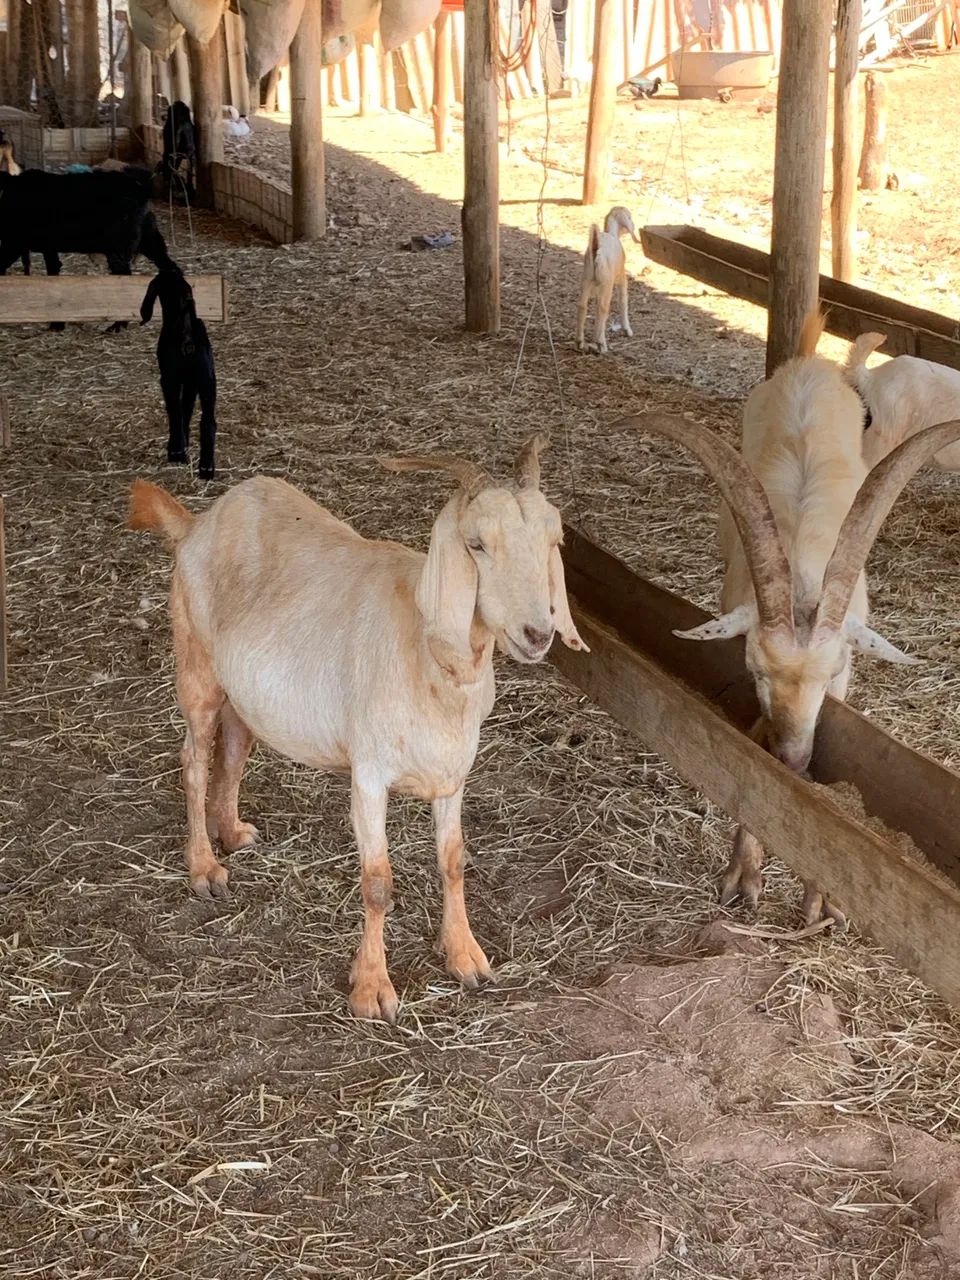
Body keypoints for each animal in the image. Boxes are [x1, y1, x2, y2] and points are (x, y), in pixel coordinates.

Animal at [128, 438, 587, 1022]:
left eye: (554, 540)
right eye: (477, 544)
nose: (537, 633)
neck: (424, 652)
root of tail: (196, 524)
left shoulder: (453, 772)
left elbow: (453, 861)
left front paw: (466, 956)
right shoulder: (369, 775)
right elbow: (377, 883)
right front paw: (372, 989)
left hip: (246, 692)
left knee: (233, 747)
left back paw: (230, 831)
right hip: (195, 662)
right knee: (192, 762)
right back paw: (204, 868)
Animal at [140, 270, 217, 479]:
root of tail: (188, 334)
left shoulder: (170, 379)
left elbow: (177, 411)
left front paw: (179, 446)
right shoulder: (192, 382)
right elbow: (187, 409)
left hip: (171, 379)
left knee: (174, 413)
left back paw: (176, 452)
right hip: (207, 380)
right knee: (208, 422)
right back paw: (206, 467)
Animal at [576, 206, 641, 354]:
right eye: (629, 217)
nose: (634, 225)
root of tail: (596, 249)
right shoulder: (622, 277)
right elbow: (623, 300)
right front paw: (627, 330)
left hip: (587, 278)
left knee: (582, 306)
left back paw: (580, 342)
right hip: (607, 282)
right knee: (603, 307)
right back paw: (601, 344)